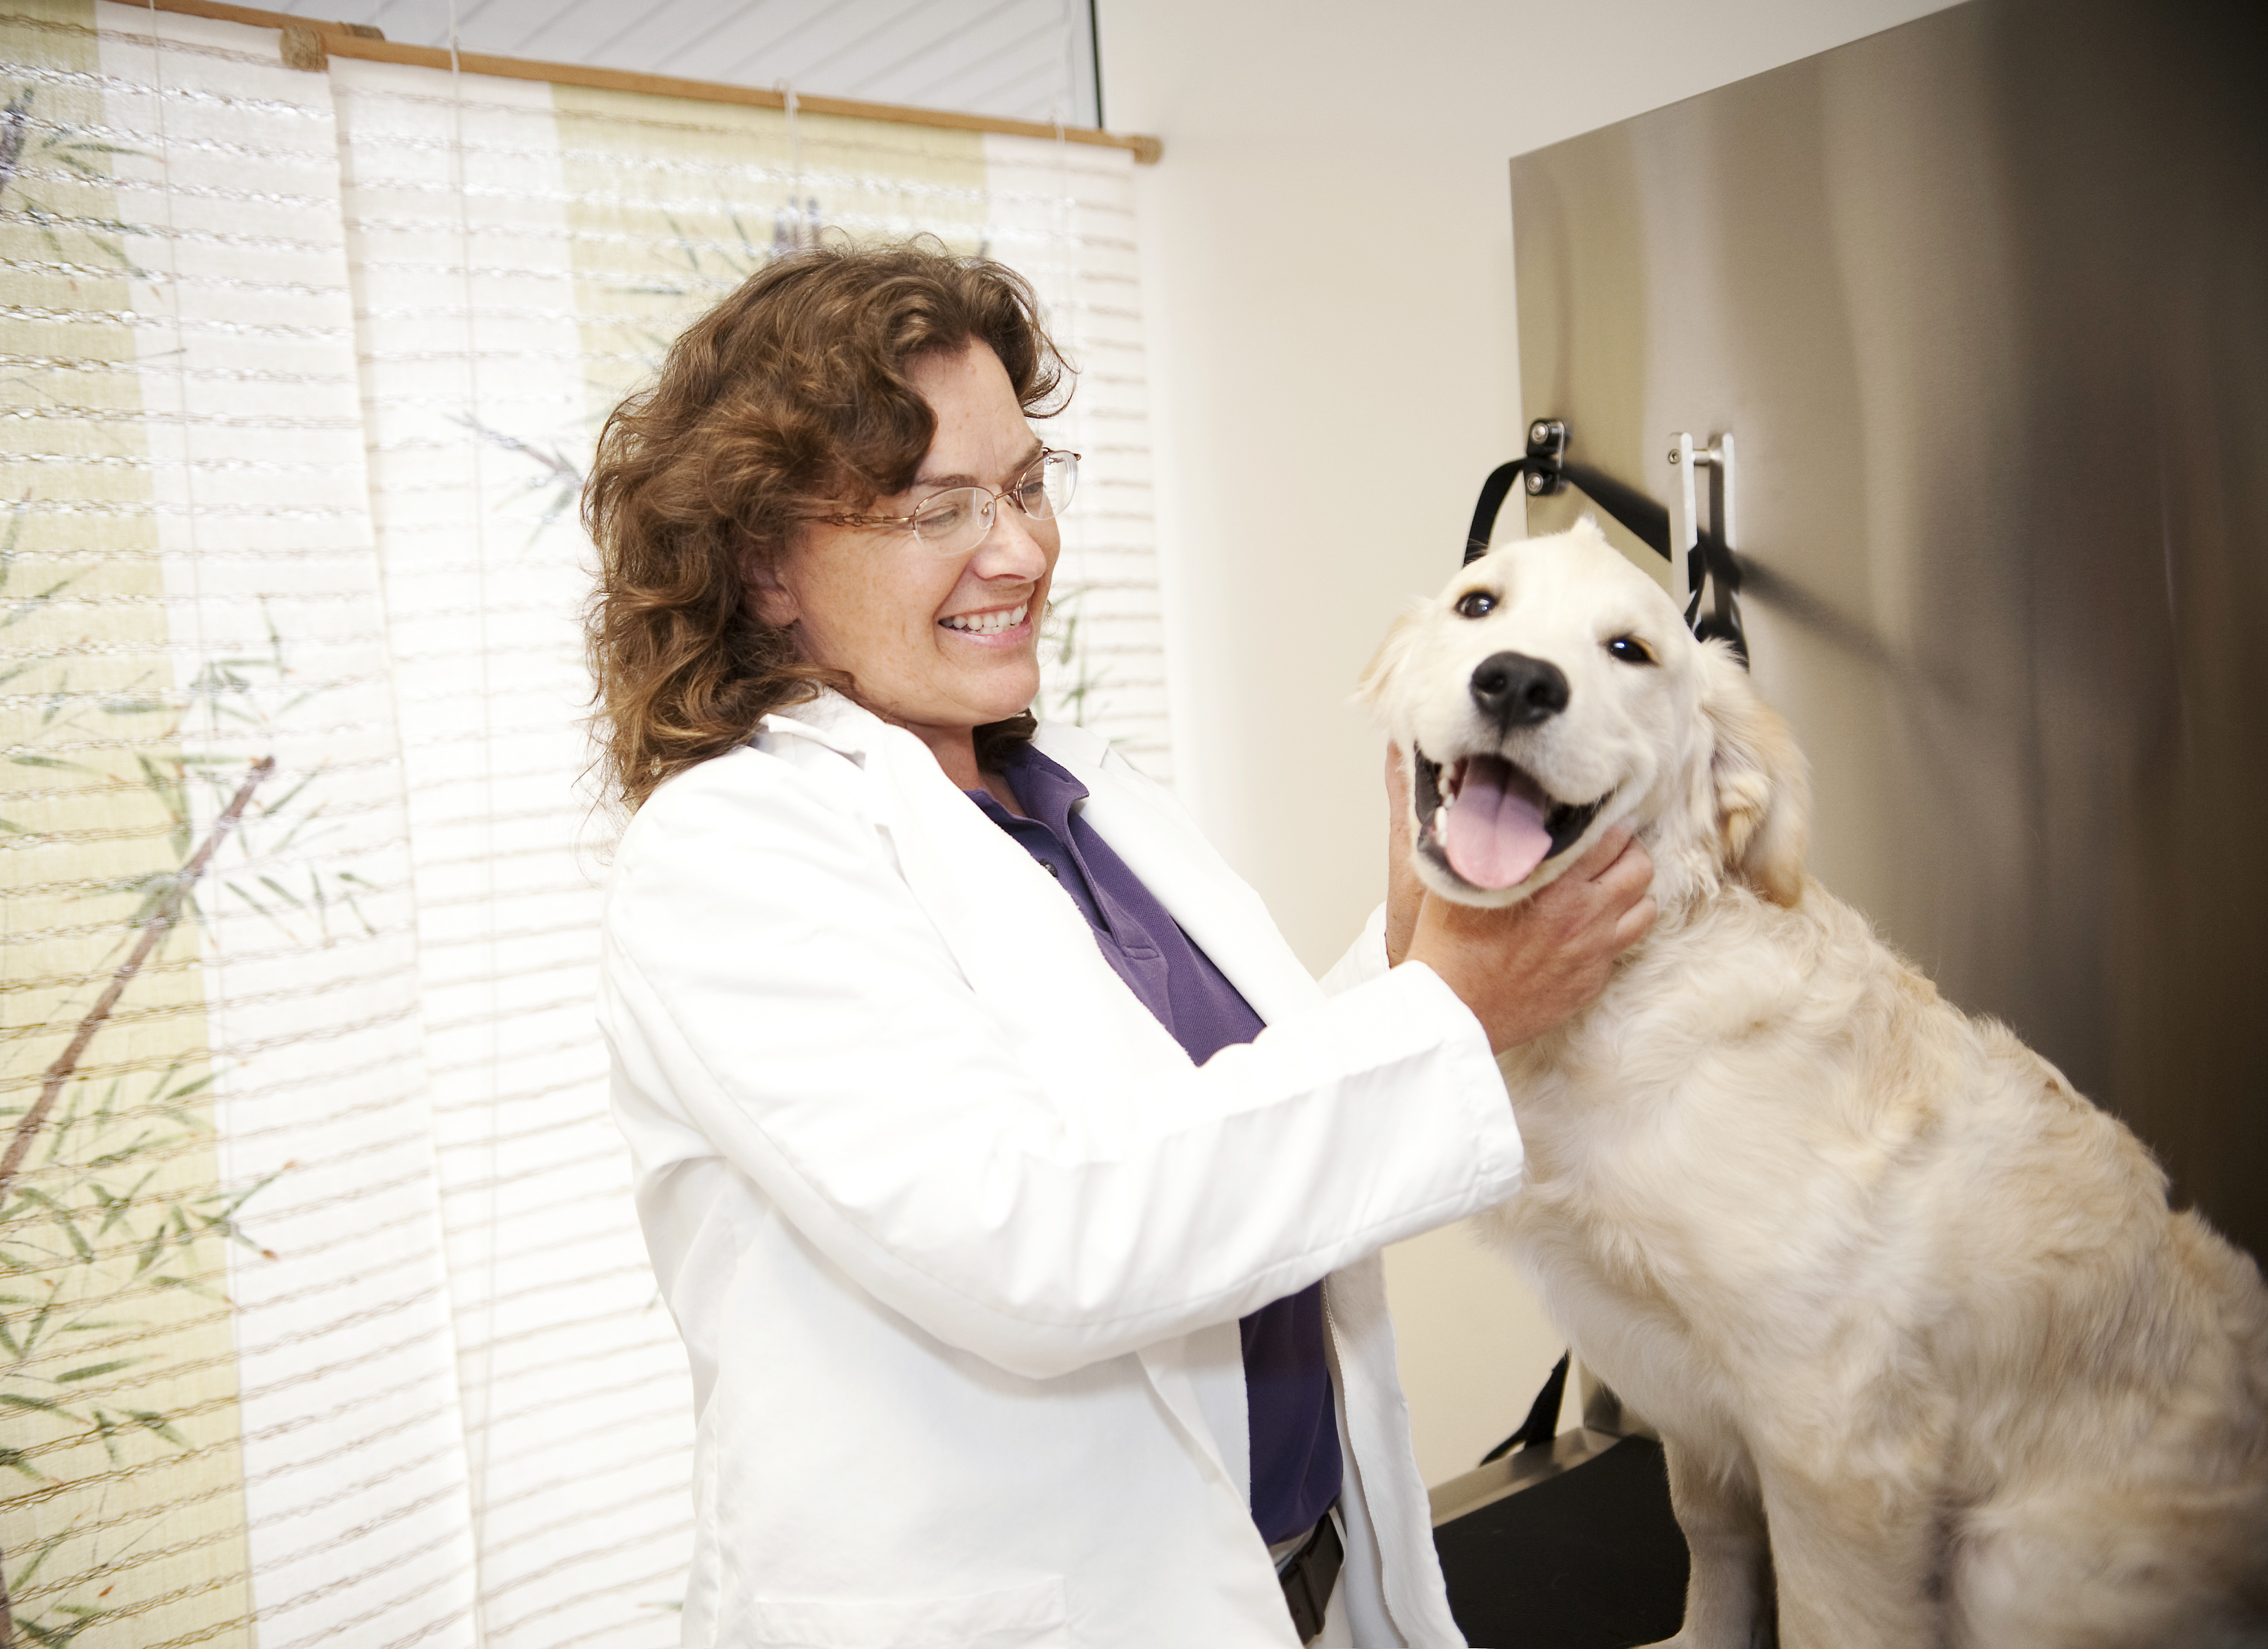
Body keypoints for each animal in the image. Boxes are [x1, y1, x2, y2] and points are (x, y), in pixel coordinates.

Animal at [1361, 521, 2268, 1642]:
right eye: (1478, 605)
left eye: (1630, 651)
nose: (1520, 682)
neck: (1637, 990)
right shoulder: (1688, 1395)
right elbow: (1711, 1540)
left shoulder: (1833, 1438)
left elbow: (1831, 1616)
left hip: (2007, 1564)